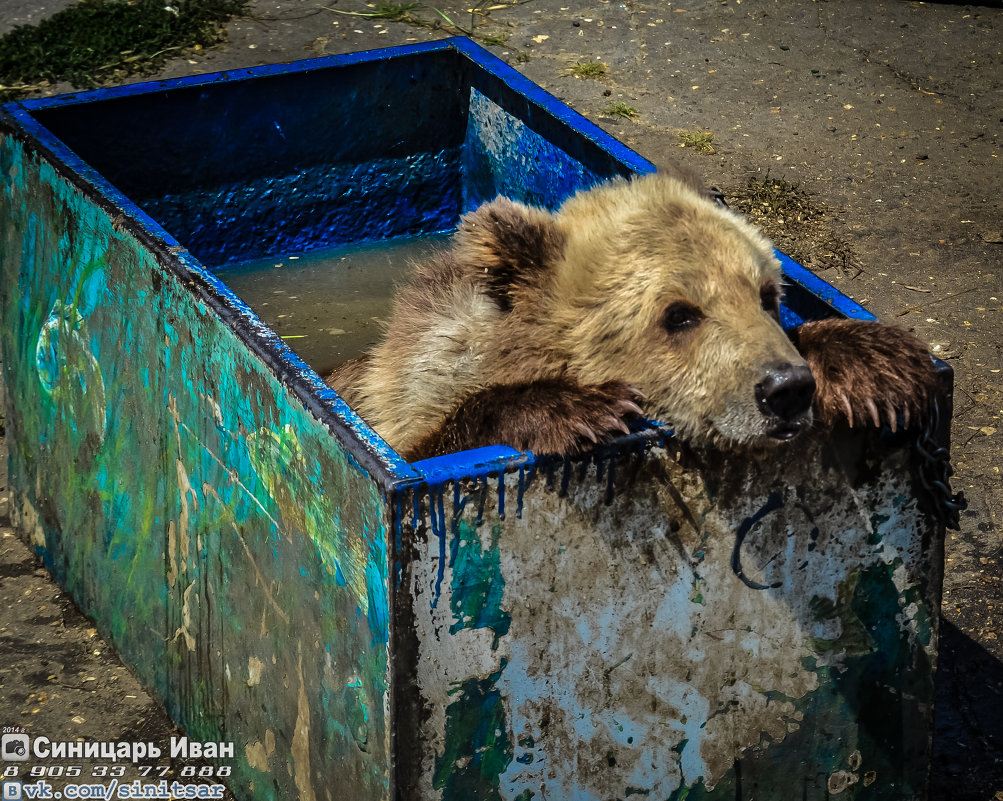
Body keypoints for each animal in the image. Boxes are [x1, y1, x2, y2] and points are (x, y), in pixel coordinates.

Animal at [328, 171, 938, 461]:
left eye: (768, 294)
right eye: (679, 315)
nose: (786, 389)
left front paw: (876, 362)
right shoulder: (407, 398)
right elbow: (432, 440)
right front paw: (583, 410)